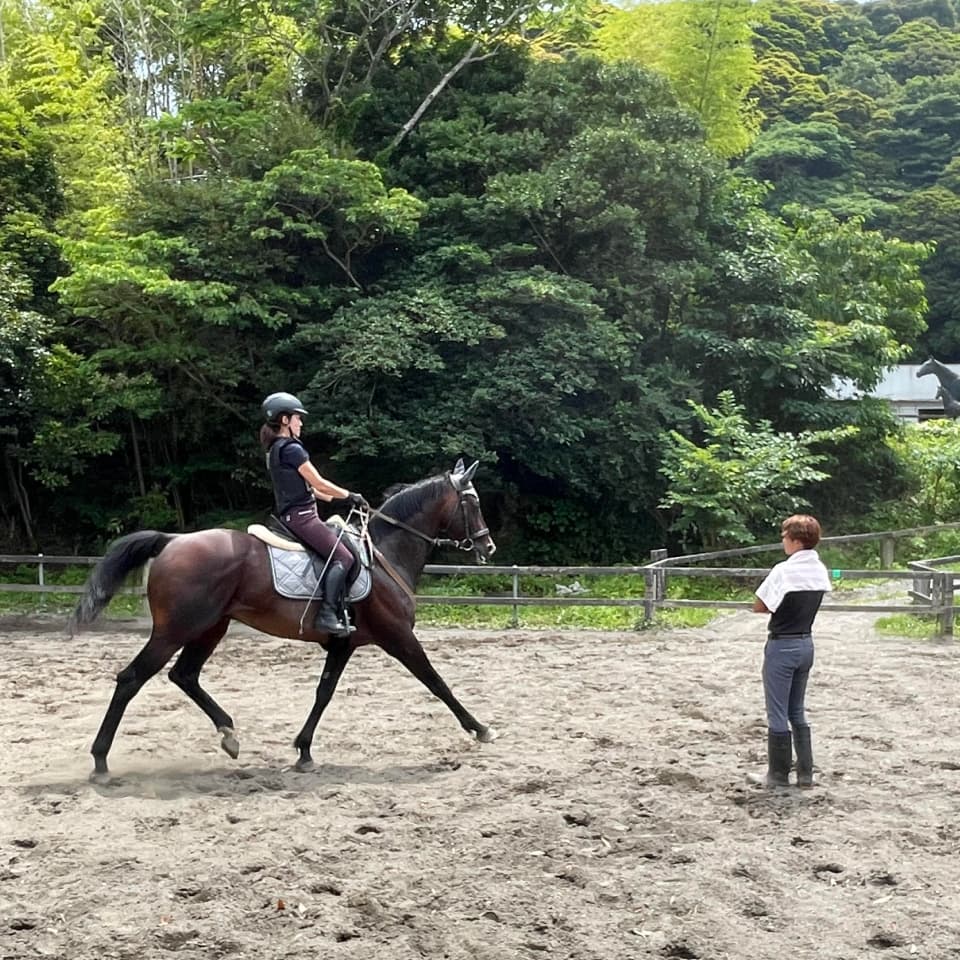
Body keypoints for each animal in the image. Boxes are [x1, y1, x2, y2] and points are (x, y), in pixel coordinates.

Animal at [70, 458, 498, 782]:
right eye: (473, 502)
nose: (488, 545)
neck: (384, 553)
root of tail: (172, 540)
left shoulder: (343, 643)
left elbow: (324, 693)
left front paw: (304, 751)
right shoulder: (397, 637)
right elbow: (436, 682)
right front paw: (480, 728)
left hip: (210, 628)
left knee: (184, 675)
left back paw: (229, 734)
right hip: (175, 630)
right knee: (131, 679)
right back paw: (101, 761)